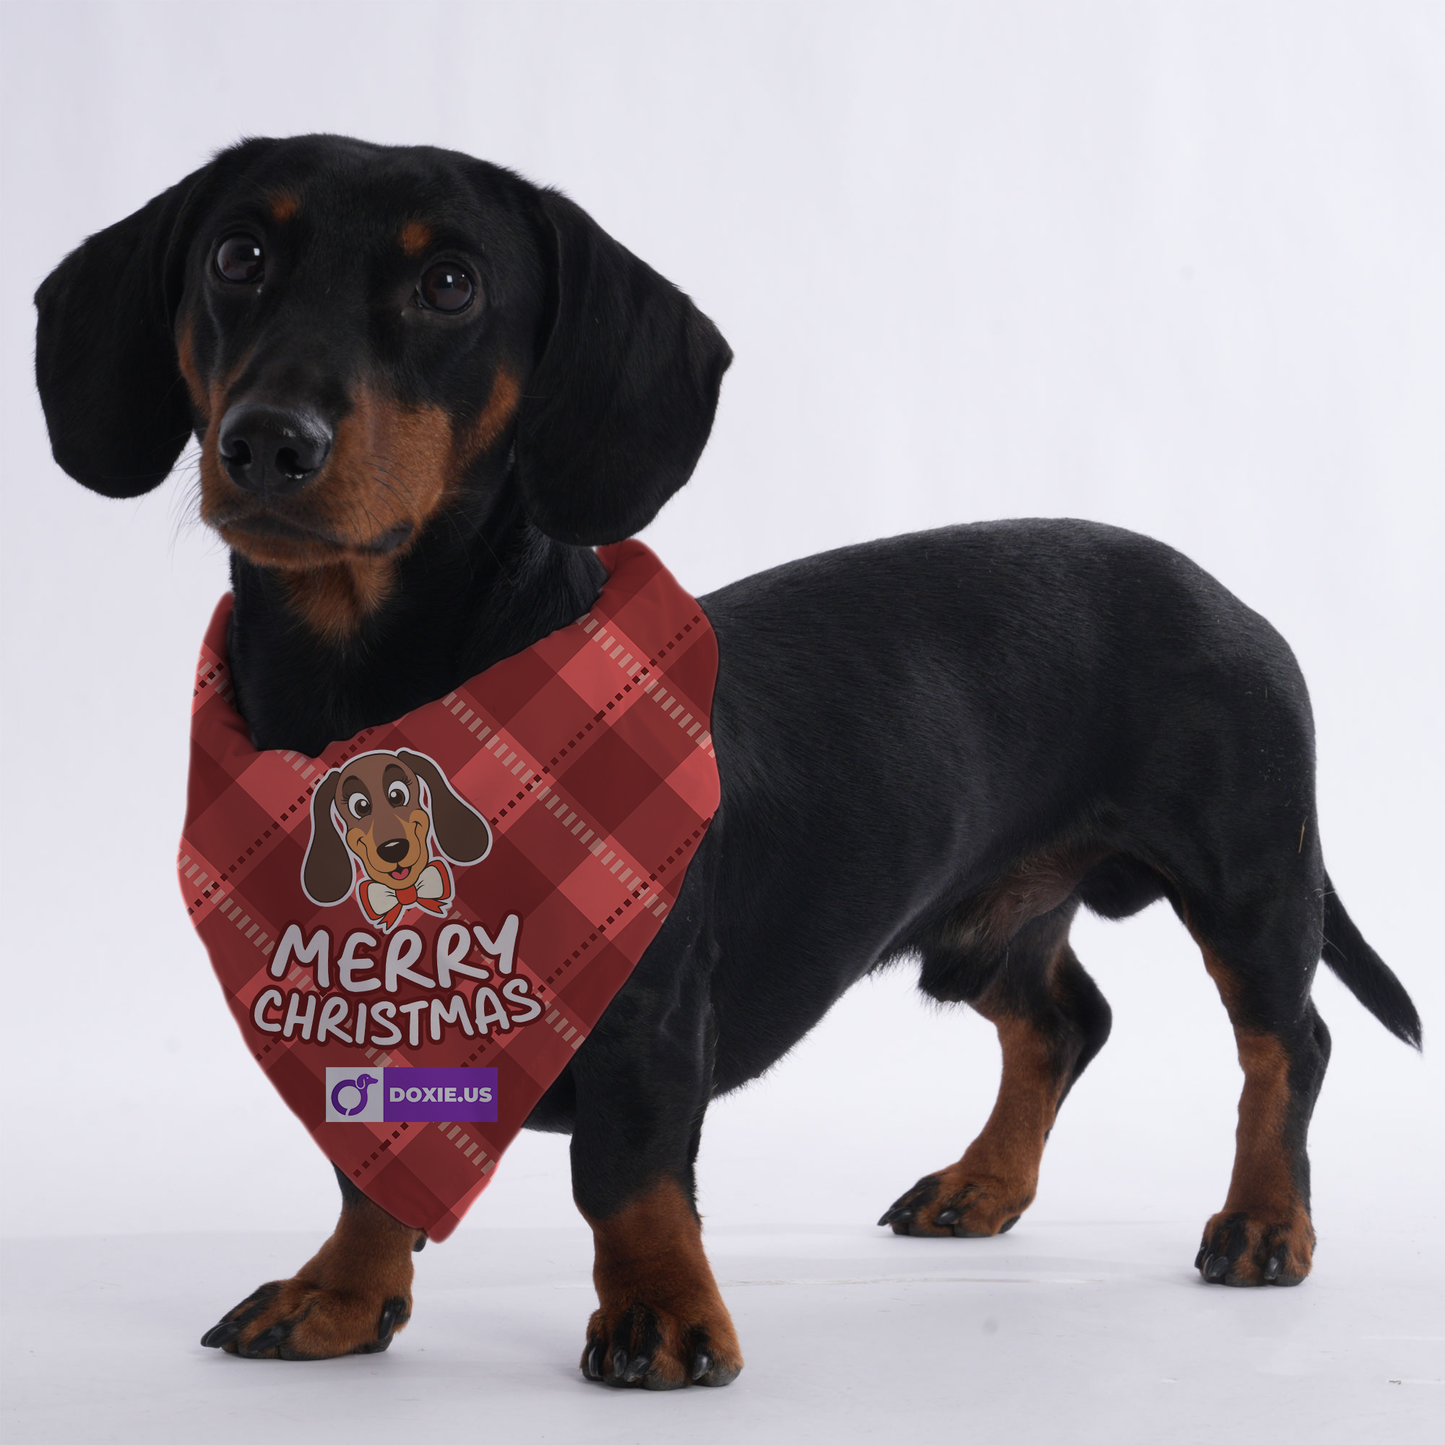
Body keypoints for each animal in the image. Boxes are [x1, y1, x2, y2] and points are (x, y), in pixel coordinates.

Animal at [36, 135, 1421, 1387]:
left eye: (451, 285)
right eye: (237, 255)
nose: (268, 441)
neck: (378, 694)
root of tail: (1228, 595)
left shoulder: (650, 1009)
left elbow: (628, 1170)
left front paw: (660, 1311)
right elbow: (368, 1162)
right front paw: (337, 1290)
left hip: (1247, 878)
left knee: (1285, 1043)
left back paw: (1264, 1219)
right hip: (983, 925)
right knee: (1066, 1020)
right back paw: (981, 1183)